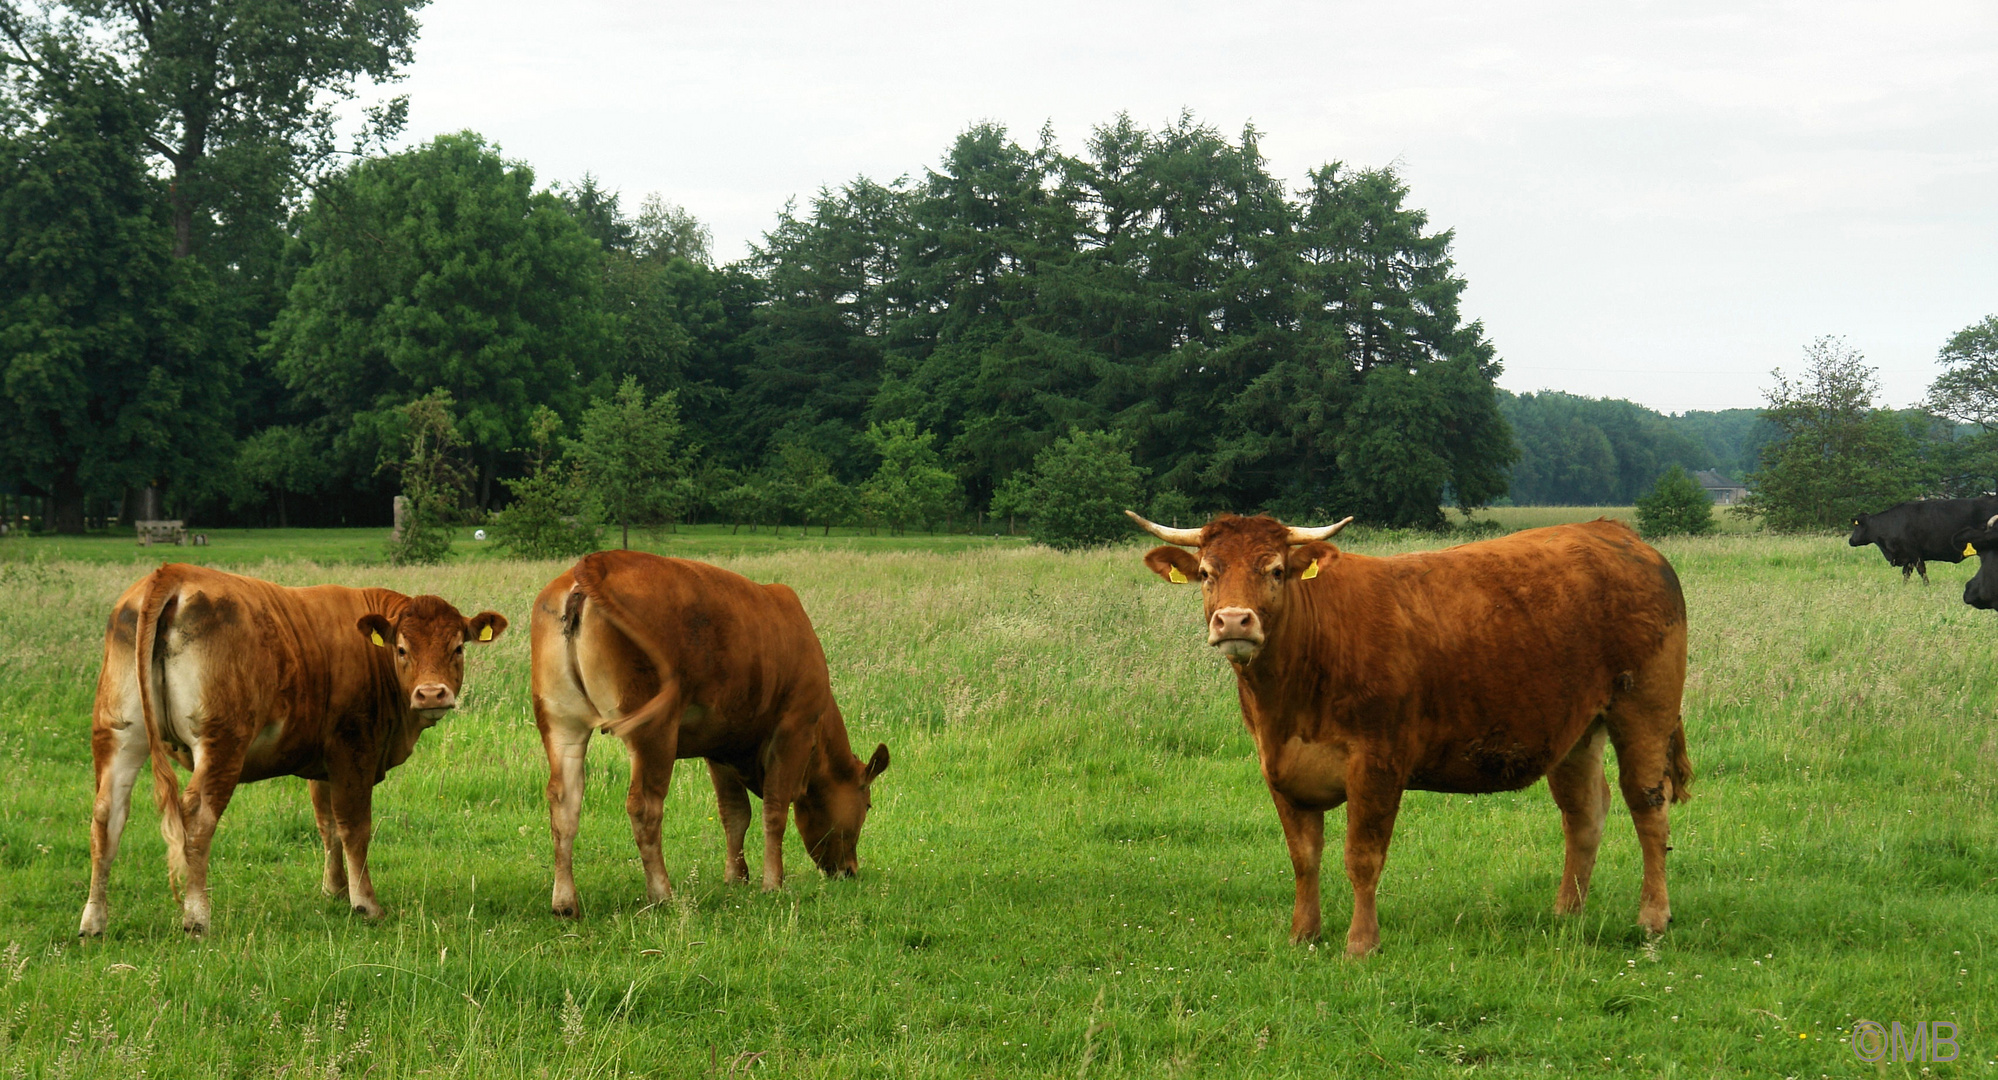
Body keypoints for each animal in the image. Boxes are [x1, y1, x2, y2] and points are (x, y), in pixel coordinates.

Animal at [79, 562, 507, 934]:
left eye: (457, 648)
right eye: (402, 649)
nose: (432, 694)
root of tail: (173, 572)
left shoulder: (324, 761)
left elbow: (328, 826)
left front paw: (335, 891)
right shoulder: (354, 749)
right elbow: (354, 827)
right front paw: (365, 903)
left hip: (118, 733)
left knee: (106, 815)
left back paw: (94, 922)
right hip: (221, 742)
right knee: (198, 817)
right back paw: (197, 918)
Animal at [527, 546, 887, 910]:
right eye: (868, 805)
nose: (850, 870)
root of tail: (597, 560)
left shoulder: (721, 744)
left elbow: (735, 814)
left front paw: (736, 878)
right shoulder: (793, 729)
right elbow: (774, 810)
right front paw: (772, 884)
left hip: (560, 721)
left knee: (564, 801)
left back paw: (565, 902)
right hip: (654, 729)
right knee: (644, 806)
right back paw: (663, 894)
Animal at [1134, 511, 1694, 950]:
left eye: (1274, 570)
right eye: (1207, 573)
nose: (1234, 621)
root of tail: (1615, 532)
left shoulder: (1377, 763)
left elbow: (1362, 857)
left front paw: (1361, 944)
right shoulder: (1279, 768)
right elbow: (1304, 857)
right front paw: (1303, 934)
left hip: (1644, 708)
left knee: (1647, 806)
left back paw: (1652, 917)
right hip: (1576, 729)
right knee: (1584, 813)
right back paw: (1565, 914)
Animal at [1846, 495, 1998, 582]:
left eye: (1856, 526)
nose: (1851, 540)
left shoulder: (1915, 553)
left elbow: (1922, 571)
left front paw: (1927, 587)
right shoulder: (1907, 557)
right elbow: (1906, 574)